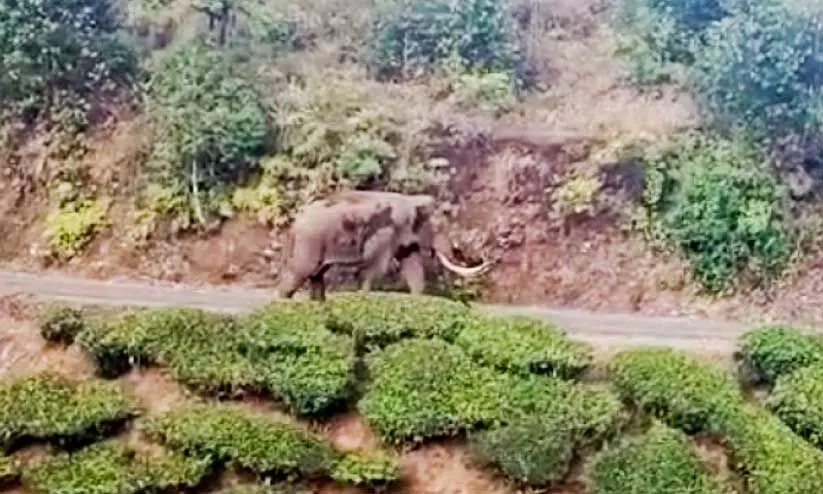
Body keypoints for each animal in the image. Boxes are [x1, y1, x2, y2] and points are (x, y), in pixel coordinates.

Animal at [275, 190, 490, 300]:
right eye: (439, 228)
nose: (483, 258)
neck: (412, 199)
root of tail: (294, 222)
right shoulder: (386, 233)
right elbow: (374, 269)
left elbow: (413, 269)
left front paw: (417, 300)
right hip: (309, 242)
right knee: (300, 273)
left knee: (316, 276)